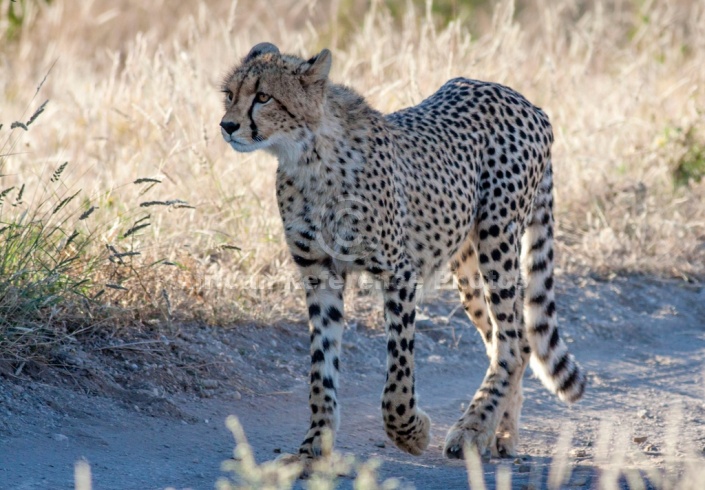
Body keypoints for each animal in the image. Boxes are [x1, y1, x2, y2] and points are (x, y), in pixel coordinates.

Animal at [219, 42, 584, 464]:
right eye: (230, 94)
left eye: (263, 97)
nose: (227, 125)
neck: (308, 156)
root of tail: (526, 101)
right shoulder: (319, 275)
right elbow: (321, 368)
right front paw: (314, 448)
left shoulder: (399, 273)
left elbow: (398, 372)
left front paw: (411, 433)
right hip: (468, 269)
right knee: (508, 339)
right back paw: (501, 432)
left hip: (498, 242)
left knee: (514, 341)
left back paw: (472, 429)